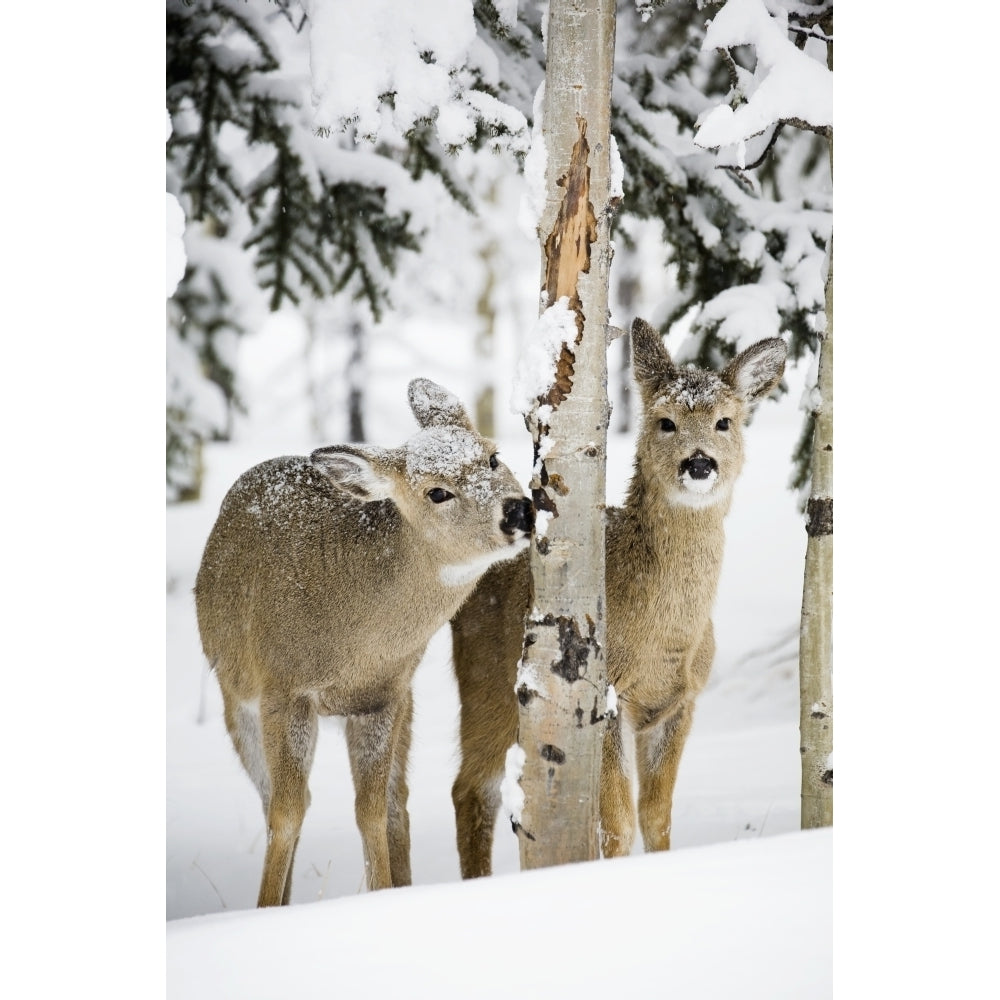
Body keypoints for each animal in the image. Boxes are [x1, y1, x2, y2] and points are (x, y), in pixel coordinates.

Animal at [198, 376, 536, 908]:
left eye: (493, 457)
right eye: (436, 492)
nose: (518, 510)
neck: (351, 645)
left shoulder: (384, 697)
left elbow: (372, 810)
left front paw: (380, 894)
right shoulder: (282, 691)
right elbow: (286, 811)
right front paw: (267, 908)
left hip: (405, 703)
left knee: (396, 801)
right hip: (236, 695)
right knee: (277, 799)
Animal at [450, 320, 784, 876]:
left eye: (724, 422)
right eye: (666, 422)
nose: (699, 463)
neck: (663, 635)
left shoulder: (680, 701)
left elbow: (656, 816)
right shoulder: (605, 694)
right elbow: (618, 823)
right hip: (487, 686)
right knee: (472, 789)